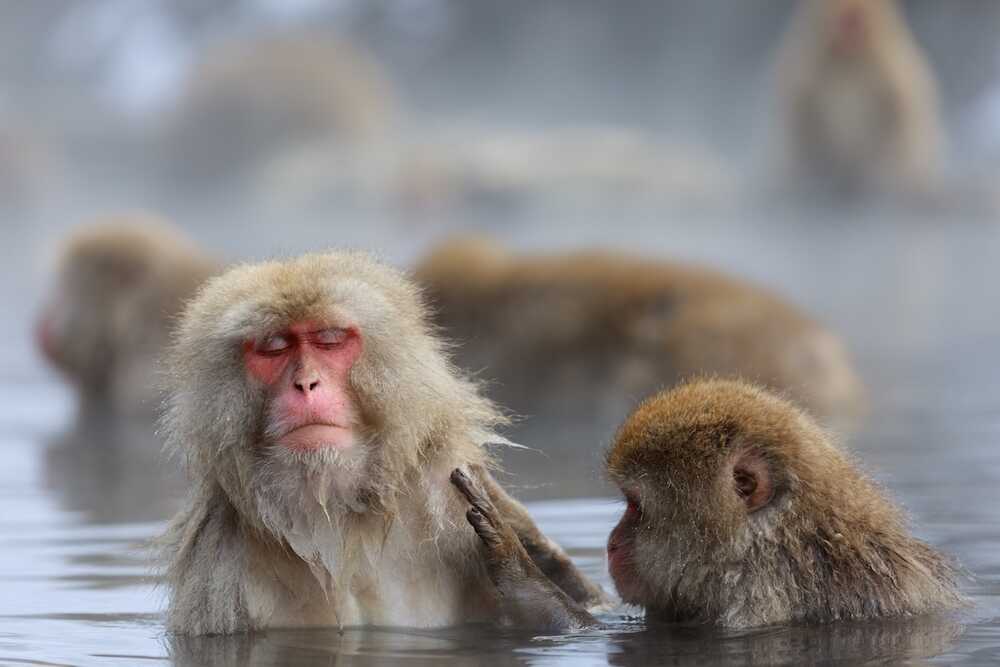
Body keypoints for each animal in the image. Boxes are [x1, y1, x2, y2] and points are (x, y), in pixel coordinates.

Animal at [157, 251, 605, 635]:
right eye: (274, 348)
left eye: (329, 339)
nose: (306, 383)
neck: (339, 521)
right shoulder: (216, 576)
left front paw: (517, 555)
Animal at [770, 0, 943, 202]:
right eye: (845, 19)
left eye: (858, 19)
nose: (851, 19)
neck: (849, 62)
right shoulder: (806, 68)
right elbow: (803, 117)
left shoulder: (888, 70)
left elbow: (897, 114)